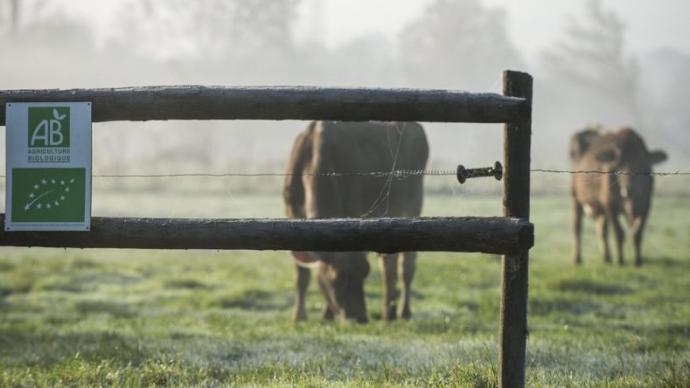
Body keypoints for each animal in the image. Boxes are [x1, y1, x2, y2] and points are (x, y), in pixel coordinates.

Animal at [282, 120, 428, 322]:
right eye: (339, 278)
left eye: (364, 273)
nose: (361, 318)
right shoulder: (291, 214)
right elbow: (302, 276)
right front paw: (300, 316)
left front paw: (325, 313)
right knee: (388, 265)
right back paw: (388, 312)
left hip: (413, 204)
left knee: (404, 267)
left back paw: (401, 311)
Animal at [568, 127, 664, 266]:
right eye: (619, 165)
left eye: (641, 162)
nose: (629, 189)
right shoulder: (609, 204)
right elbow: (619, 233)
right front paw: (620, 261)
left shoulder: (646, 204)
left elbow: (637, 233)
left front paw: (638, 261)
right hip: (576, 197)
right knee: (577, 227)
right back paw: (577, 259)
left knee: (602, 229)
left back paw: (607, 258)